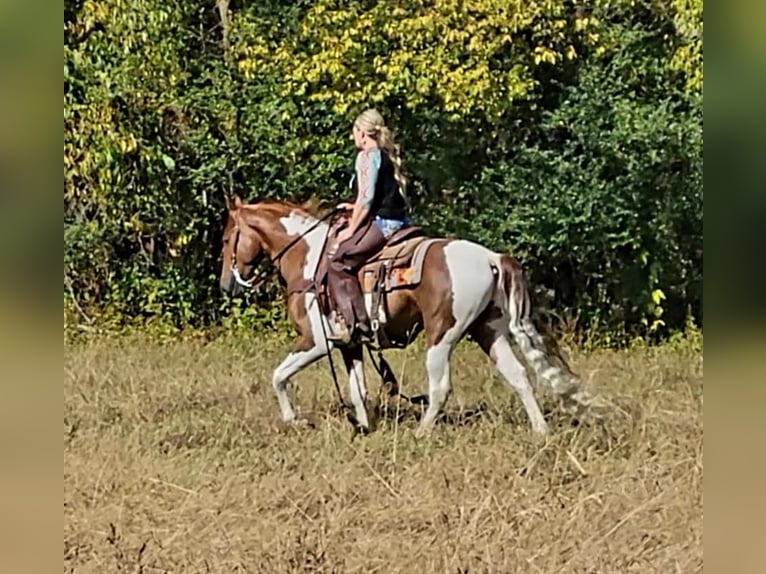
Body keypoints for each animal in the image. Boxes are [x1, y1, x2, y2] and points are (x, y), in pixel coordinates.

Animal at [219, 195, 604, 436]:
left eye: (225, 239)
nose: (227, 284)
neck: (308, 258)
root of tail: (490, 257)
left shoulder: (315, 342)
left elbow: (278, 376)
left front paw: (293, 420)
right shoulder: (349, 345)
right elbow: (358, 390)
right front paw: (364, 427)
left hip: (442, 336)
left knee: (440, 387)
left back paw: (421, 432)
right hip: (488, 330)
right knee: (519, 375)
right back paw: (541, 430)